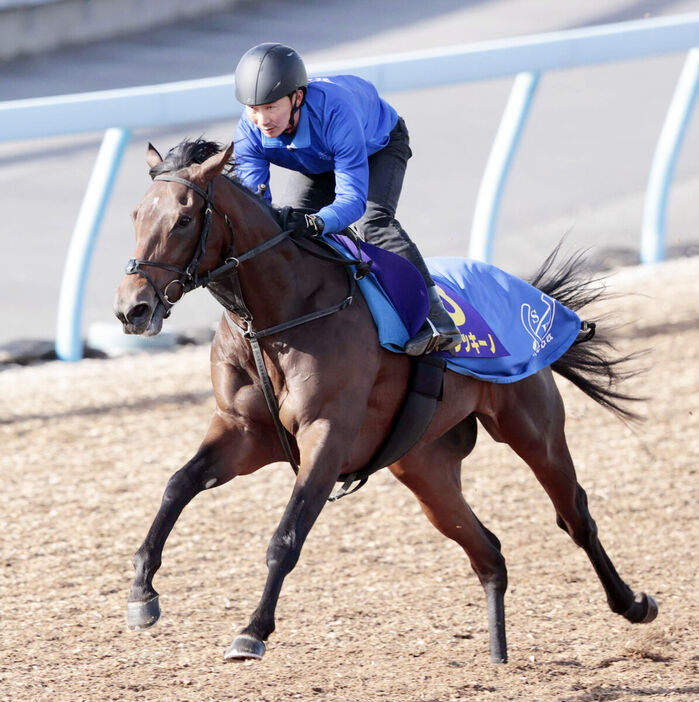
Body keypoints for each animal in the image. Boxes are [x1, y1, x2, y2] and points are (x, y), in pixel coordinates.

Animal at [113, 139, 656, 664]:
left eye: (184, 219)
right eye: (136, 214)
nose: (132, 308)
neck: (280, 313)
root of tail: (536, 298)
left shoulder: (327, 435)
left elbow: (286, 537)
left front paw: (252, 631)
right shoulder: (243, 432)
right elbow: (177, 485)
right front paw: (142, 592)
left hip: (532, 428)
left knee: (575, 515)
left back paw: (633, 604)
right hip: (424, 467)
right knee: (488, 551)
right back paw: (499, 653)